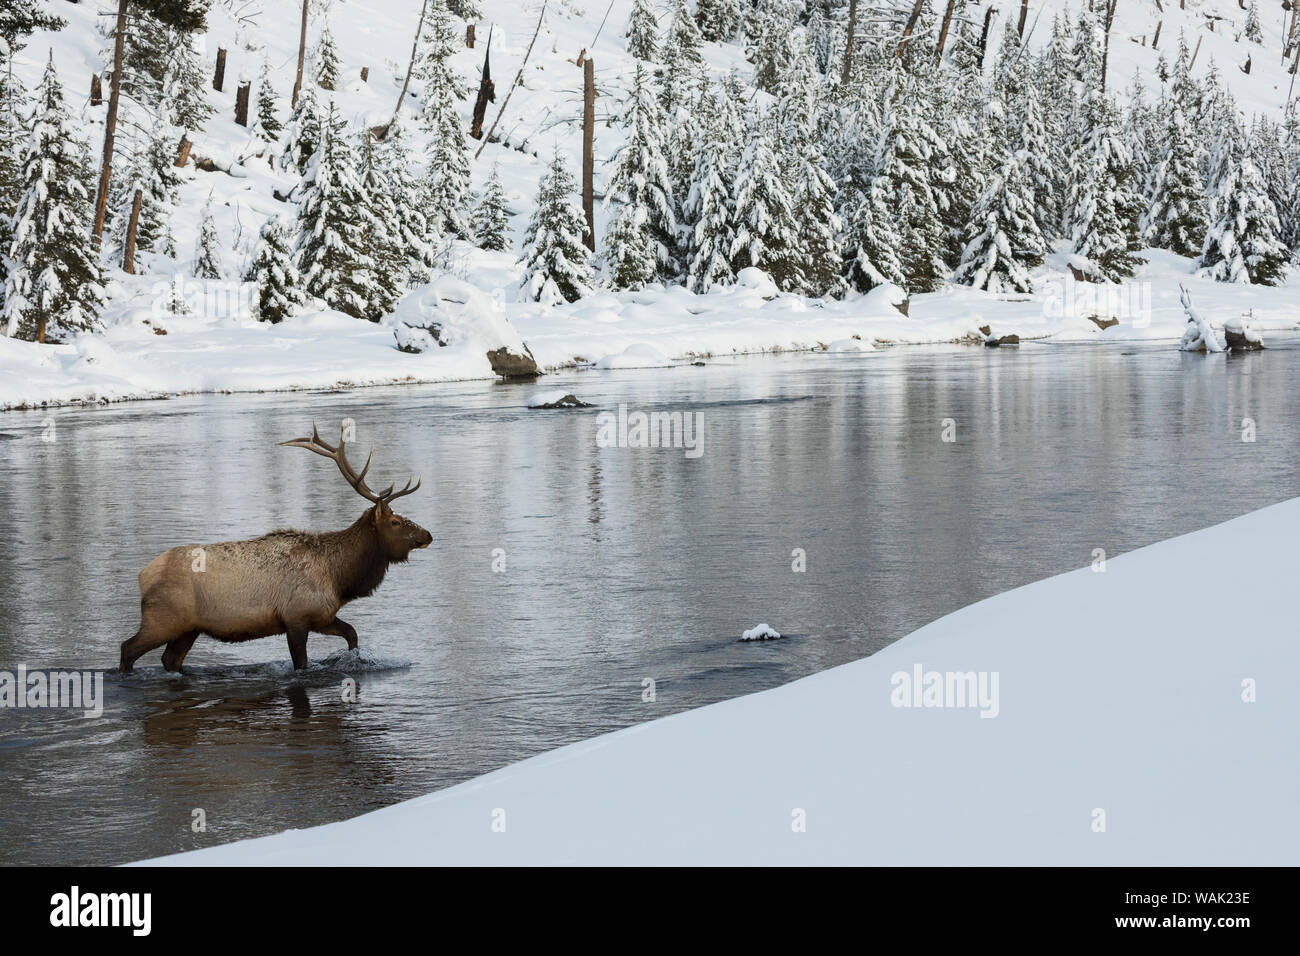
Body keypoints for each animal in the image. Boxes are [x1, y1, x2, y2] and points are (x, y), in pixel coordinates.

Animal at [118, 426, 431, 671]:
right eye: (395, 521)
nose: (427, 534)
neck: (339, 579)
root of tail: (142, 575)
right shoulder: (296, 617)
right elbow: (301, 664)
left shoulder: (320, 615)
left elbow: (352, 634)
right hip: (162, 619)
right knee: (127, 648)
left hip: (188, 628)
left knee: (170, 660)